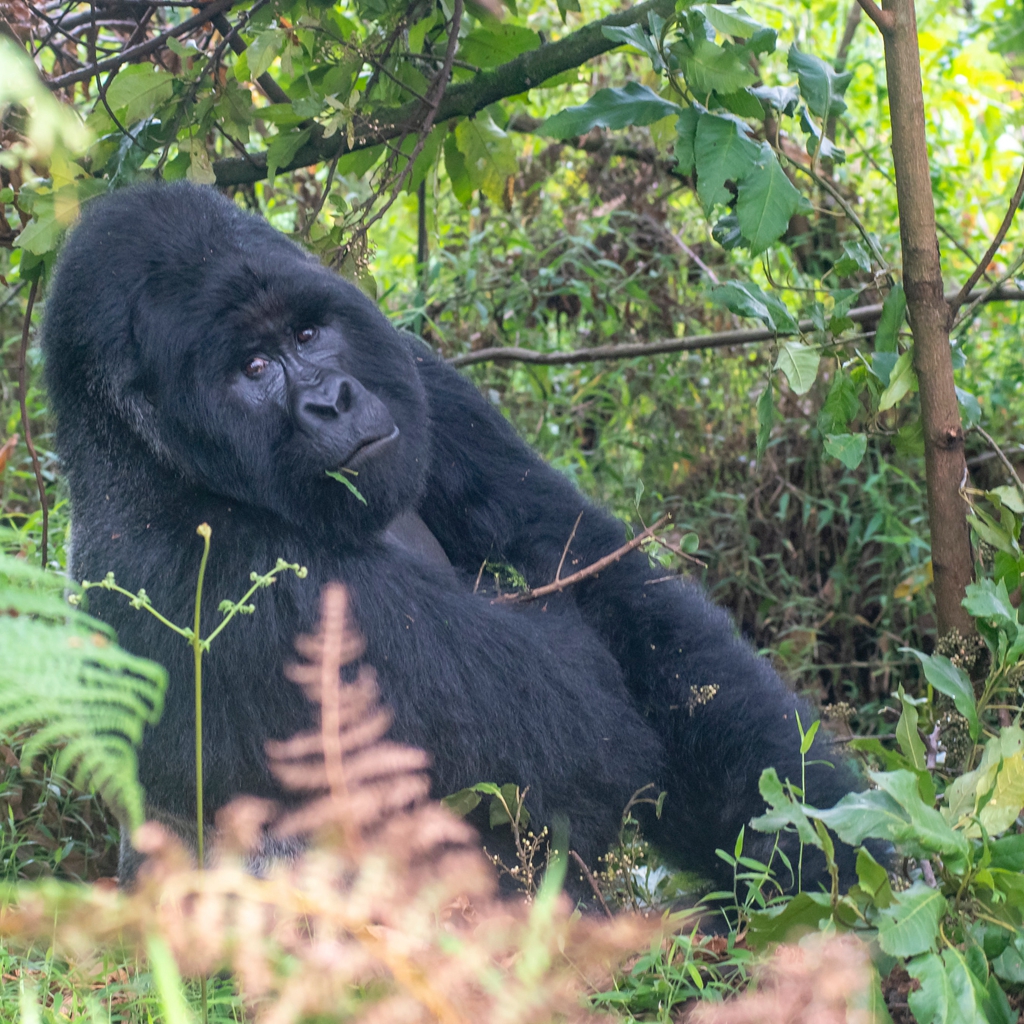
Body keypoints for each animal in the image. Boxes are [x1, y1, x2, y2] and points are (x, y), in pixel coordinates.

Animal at [46, 184, 864, 897]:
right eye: (252, 368)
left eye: (308, 333)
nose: (330, 400)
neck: (145, 457)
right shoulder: (218, 580)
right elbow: (581, 739)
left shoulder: (422, 376)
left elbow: (617, 595)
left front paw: (822, 850)